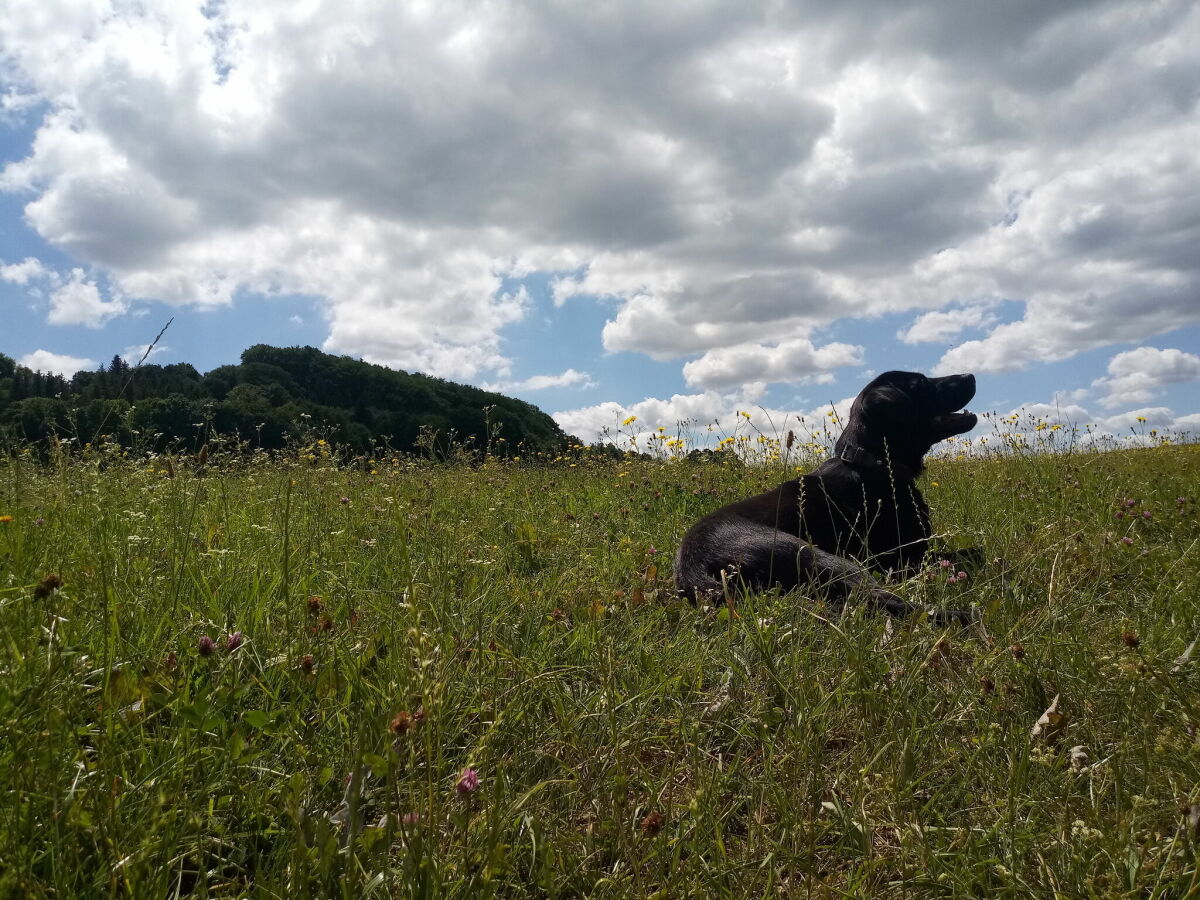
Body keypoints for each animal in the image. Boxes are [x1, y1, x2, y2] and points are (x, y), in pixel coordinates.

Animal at [676, 372, 974, 619]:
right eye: (921, 383)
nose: (970, 376)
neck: (870, 462)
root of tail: (693, 571)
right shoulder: (906, 556)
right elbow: (970, 552)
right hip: (816, 555)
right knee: (879, 599)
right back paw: (963, 617)